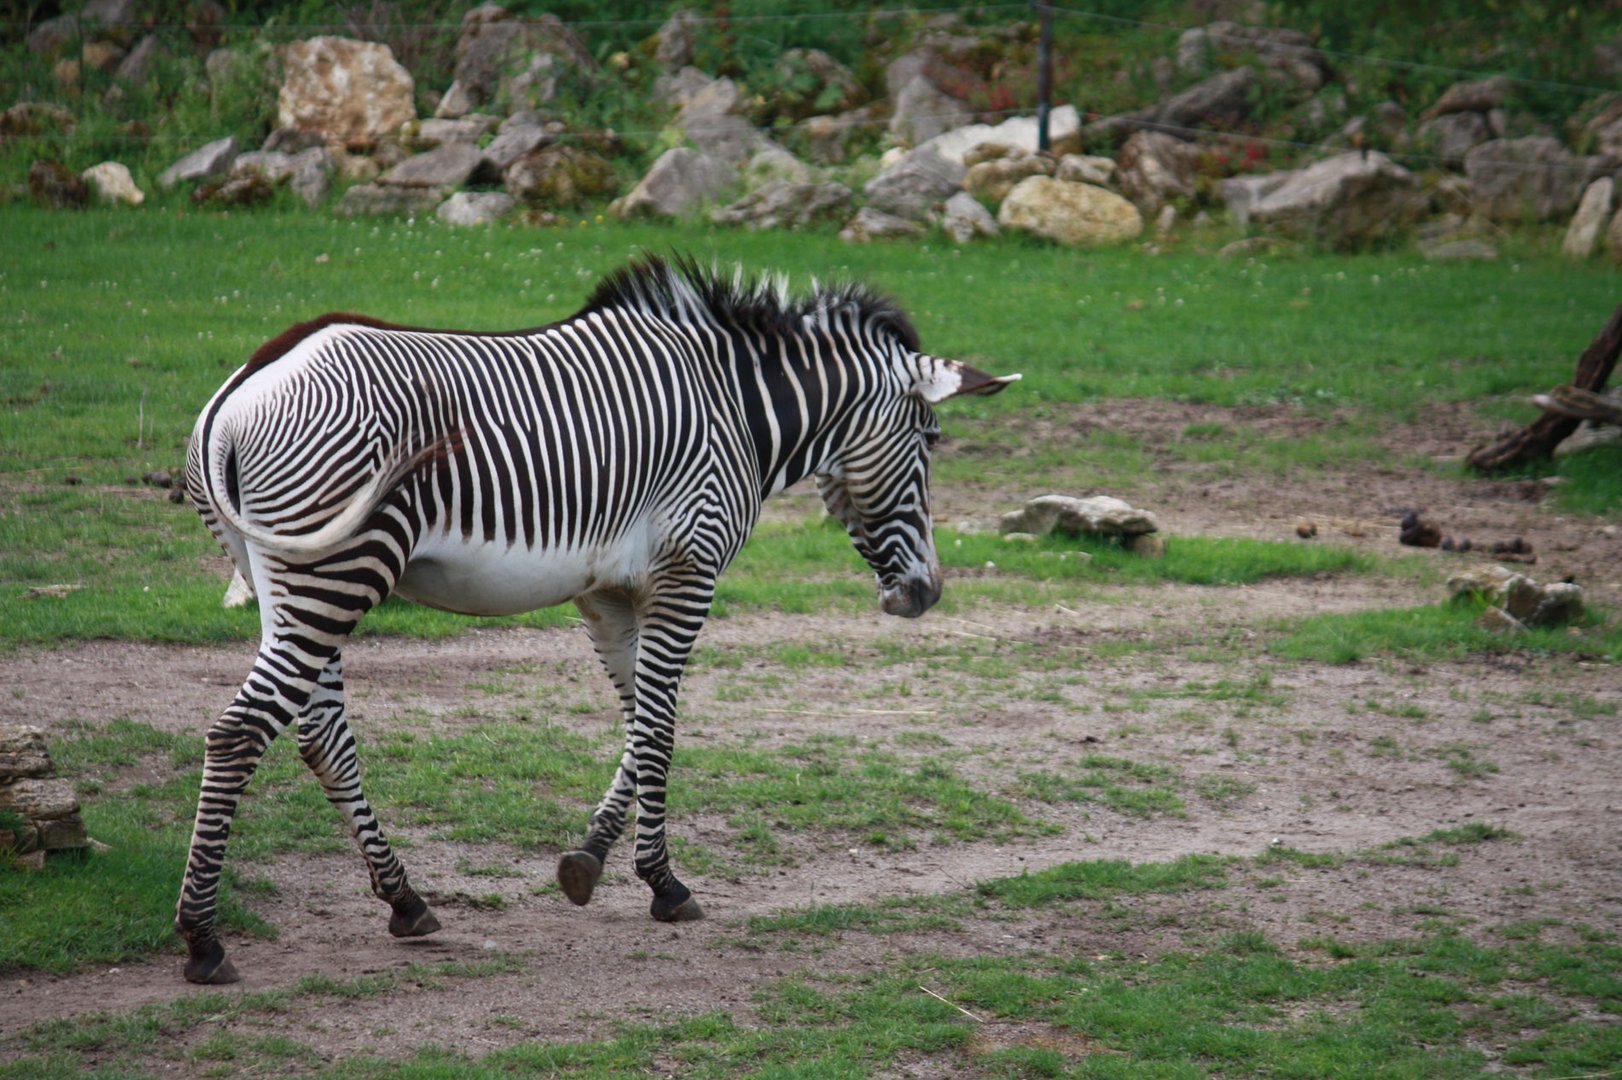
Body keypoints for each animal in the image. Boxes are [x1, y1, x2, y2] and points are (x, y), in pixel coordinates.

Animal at [174, 254, 1012, 985]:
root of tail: (246, 385)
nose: (926, 594)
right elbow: (662, 726)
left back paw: (406, 902)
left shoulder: (608, 591)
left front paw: (592, 862)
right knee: (240, 732)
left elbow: (641, 721)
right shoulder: (688, 572)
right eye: (931, 442)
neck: (738, 409)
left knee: (322, 738)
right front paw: (662, 884)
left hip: (293, 582)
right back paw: (204, 940)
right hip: (338, 571)